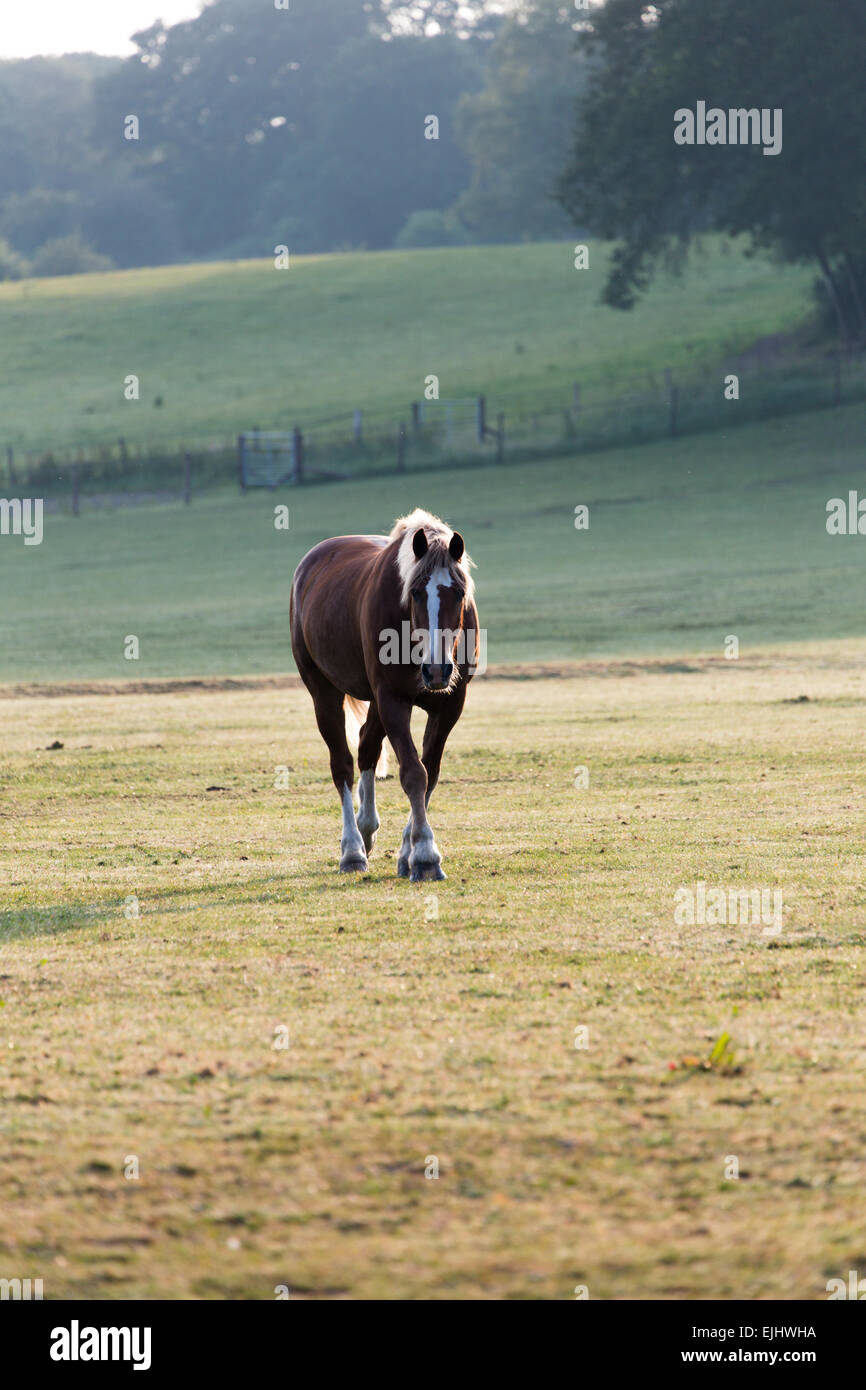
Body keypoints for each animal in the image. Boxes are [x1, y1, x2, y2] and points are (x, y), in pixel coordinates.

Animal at [291, 511, 480, 878]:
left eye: (459, 592)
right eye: (415, 592)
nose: (437, 670)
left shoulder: (450, 705)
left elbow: (429, 773)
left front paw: (408, 853)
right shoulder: (392, 700)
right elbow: (414, 774)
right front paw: (425, 855)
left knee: (367, 746)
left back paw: (366, 828)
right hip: (323, 692)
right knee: (343, 764)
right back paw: (352, 849)